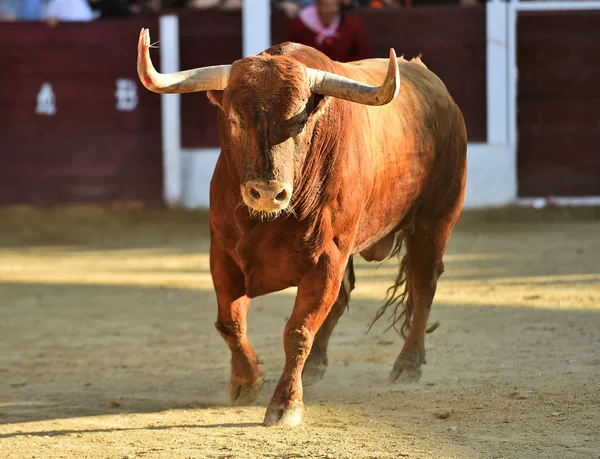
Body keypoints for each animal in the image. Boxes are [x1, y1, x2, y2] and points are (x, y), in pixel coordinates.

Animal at [137, 28, 468, 428]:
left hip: (434, 222)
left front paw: (285, 404)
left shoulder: (326, 257)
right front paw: (246, 382)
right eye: (235, 120)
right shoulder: (223, 254)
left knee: (423, 285)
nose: (267, 192)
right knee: (344, 297)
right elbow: (230, 322)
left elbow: (298, 330)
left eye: (298, 122)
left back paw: (408, 365)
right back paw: (313, 369)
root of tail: (437, 91)